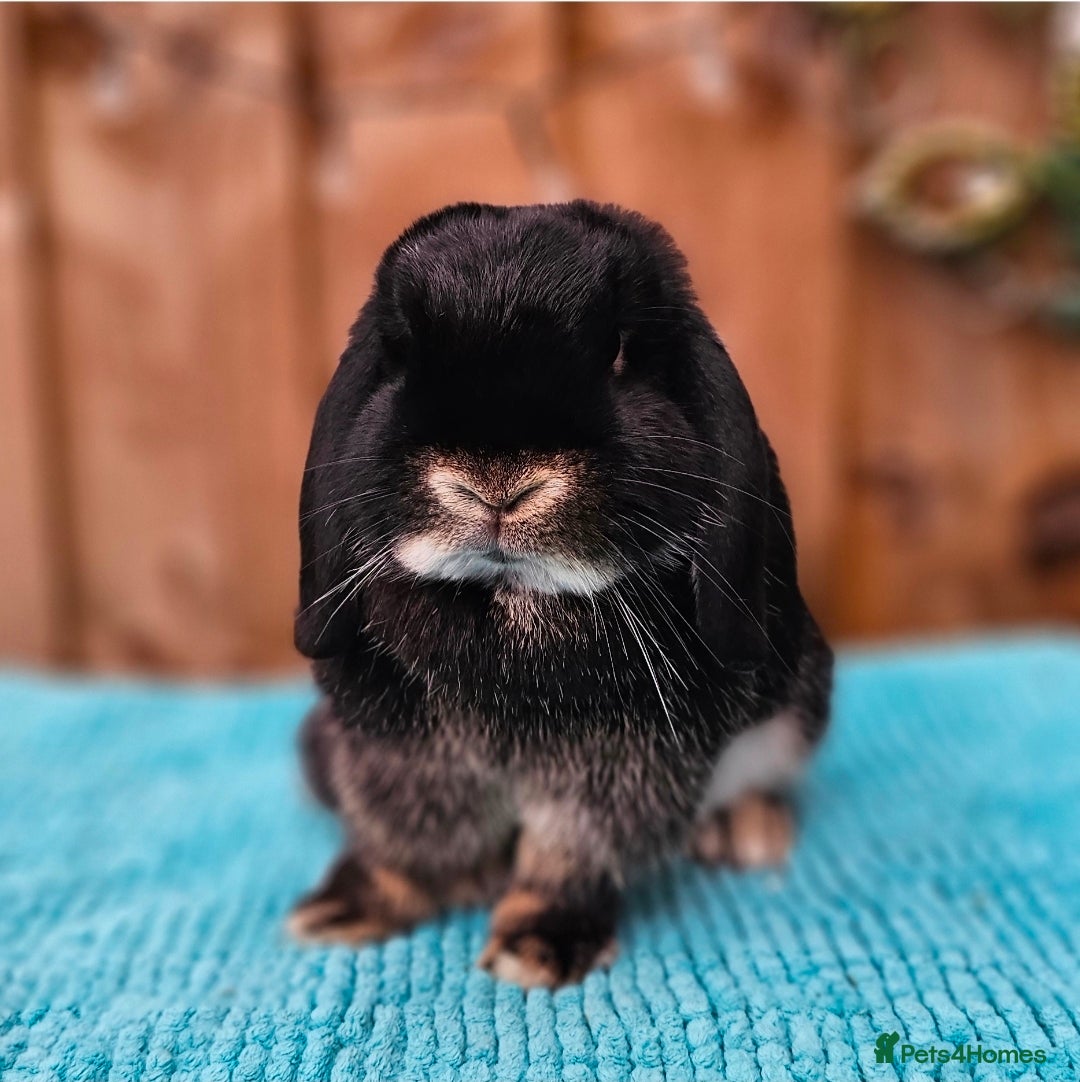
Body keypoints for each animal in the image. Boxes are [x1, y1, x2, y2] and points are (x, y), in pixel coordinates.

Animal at [289, 201, 833, 988]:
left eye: (619, 352)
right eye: (399, 356)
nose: (495, 486)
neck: (506, 596)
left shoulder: (625, 767)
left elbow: (572, 852)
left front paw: (540, 946)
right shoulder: (395, 752)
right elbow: (407, 840)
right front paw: (346, 908)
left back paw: (745, 831)